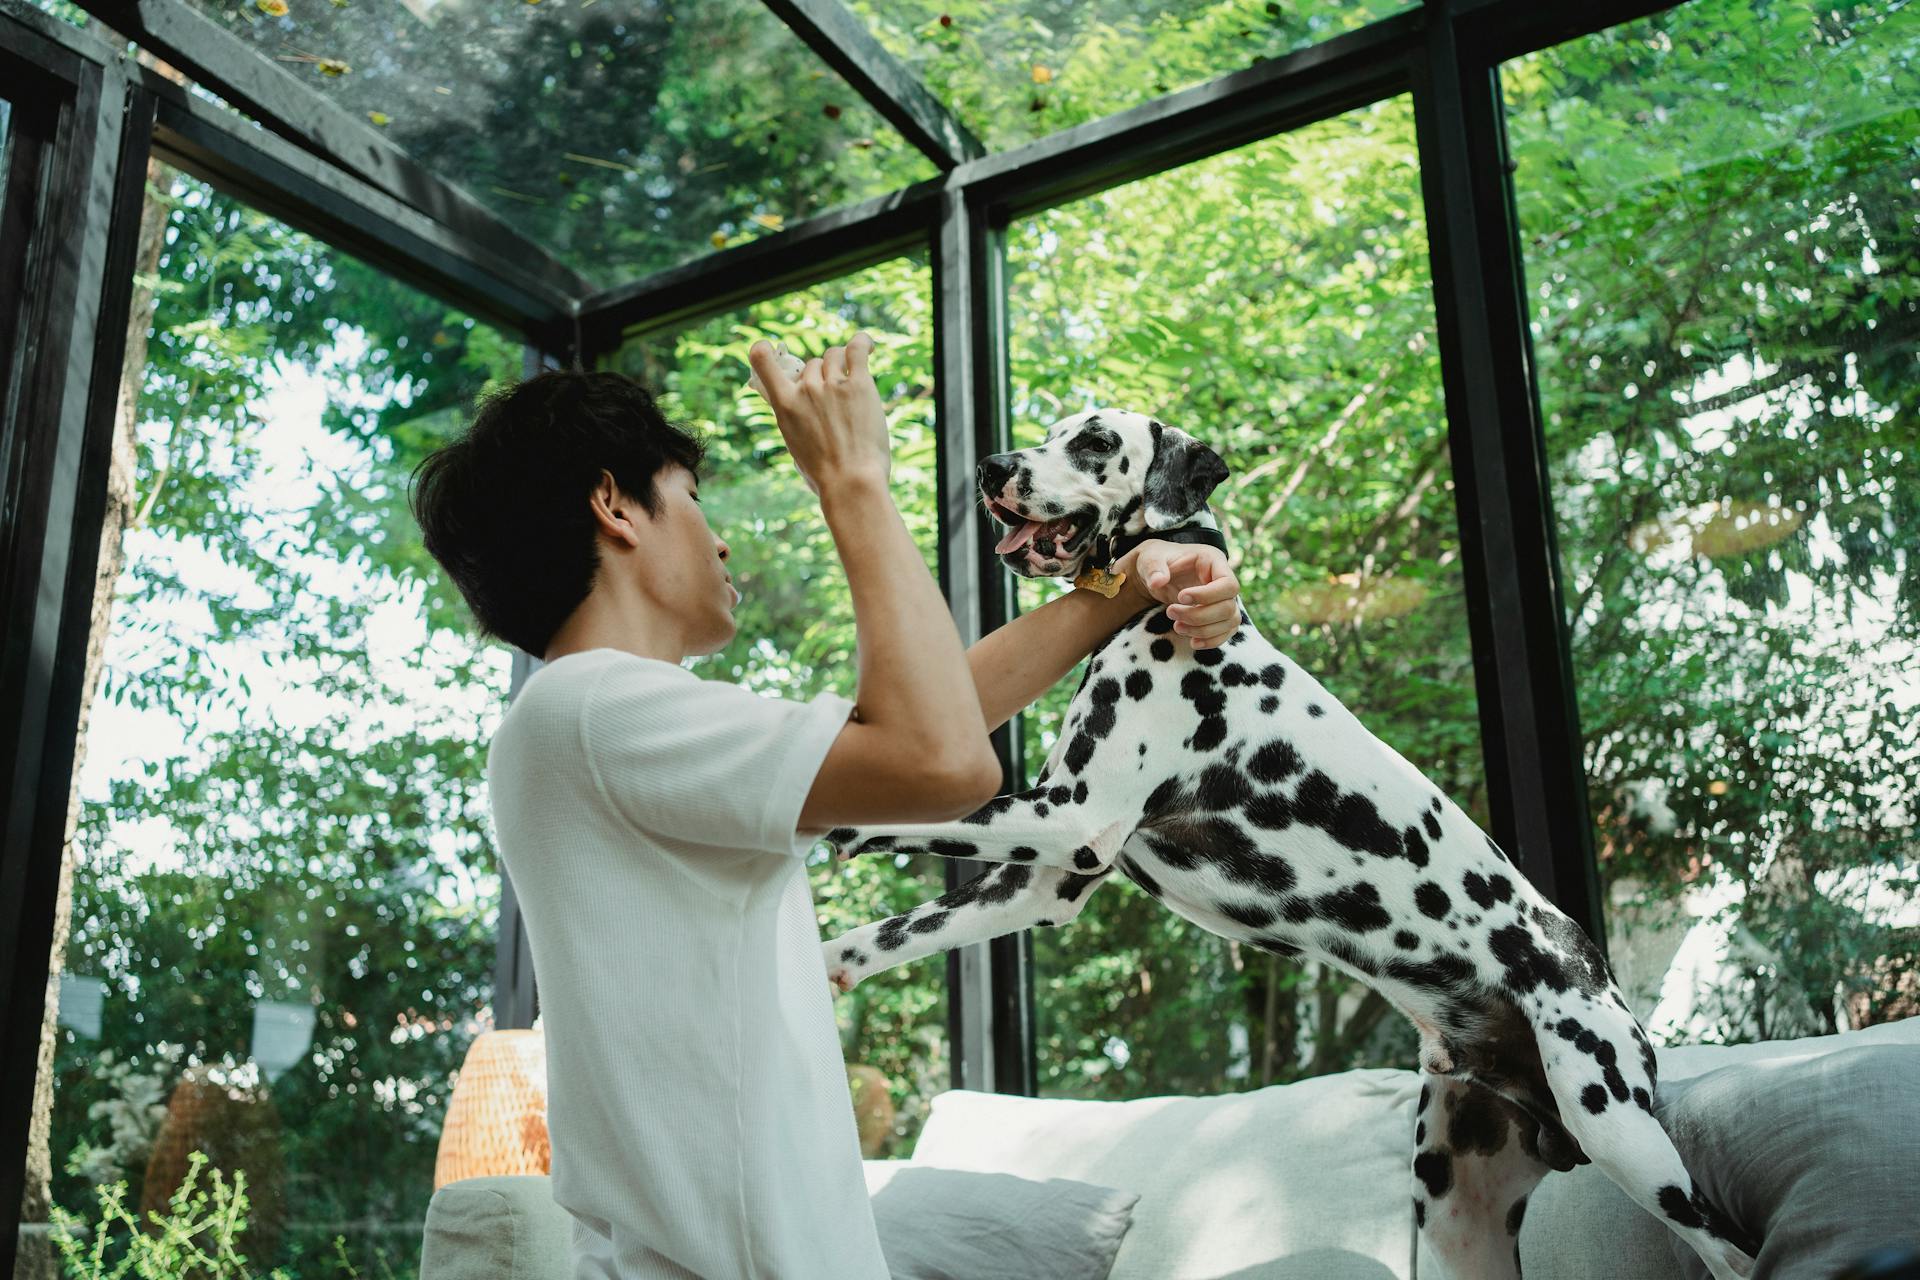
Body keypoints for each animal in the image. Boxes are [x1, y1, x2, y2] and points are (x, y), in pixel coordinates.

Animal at [817, 408, 1758, 1280]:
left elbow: (902, 815)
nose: (990, 467)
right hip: (1460, 1220)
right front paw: (823, 960)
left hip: (1623, 1133)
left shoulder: (1069, 819)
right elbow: (888, 933)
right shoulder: (1043, 883)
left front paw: (822, 807)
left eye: (1093, 442)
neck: (1166, 608)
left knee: (1734, 1253)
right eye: (1048, 432)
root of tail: (1589, 961)